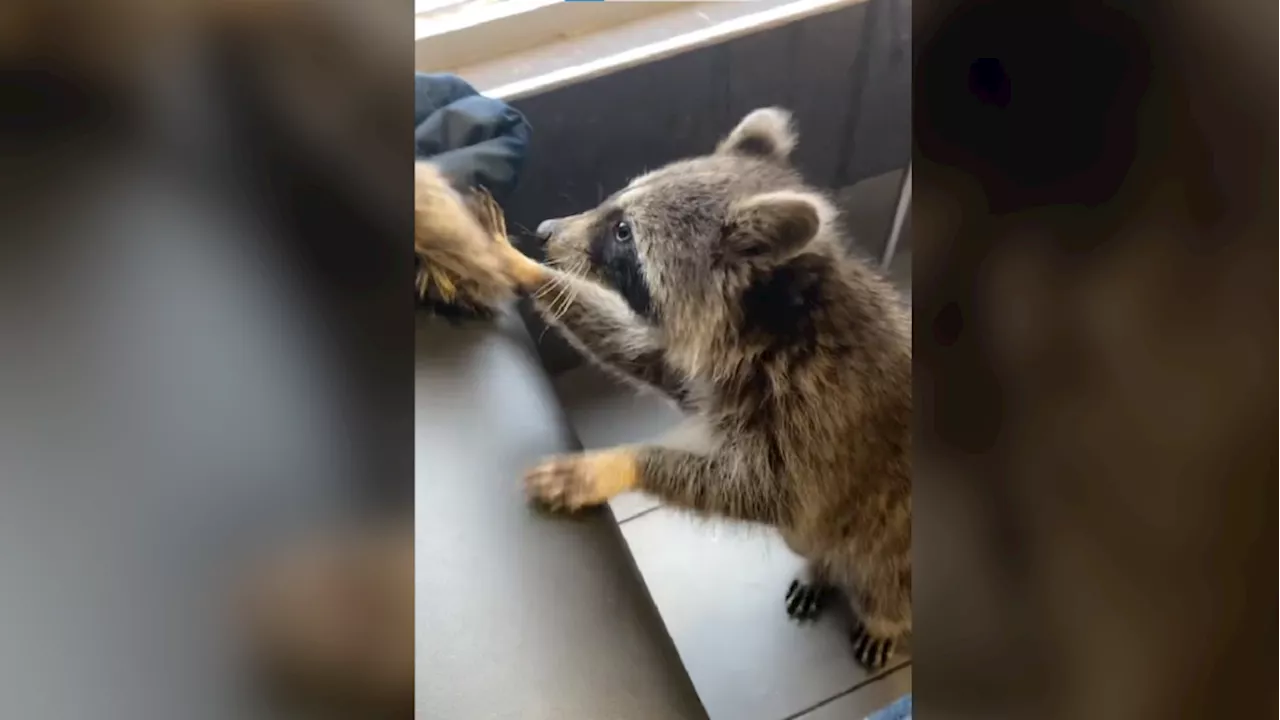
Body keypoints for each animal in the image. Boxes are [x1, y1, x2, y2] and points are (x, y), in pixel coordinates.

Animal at [494, 106, 916, 666]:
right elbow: (643, 355)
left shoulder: (833, 414)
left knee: (879, 578)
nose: (545, 232)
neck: (777, 318)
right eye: (618, 208)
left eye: (623, 232)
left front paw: (615, 464)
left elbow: (774, 495)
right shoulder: (709, 366)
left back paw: (884, 617)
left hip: (892, 542)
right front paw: (519, 266)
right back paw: (820, 568)